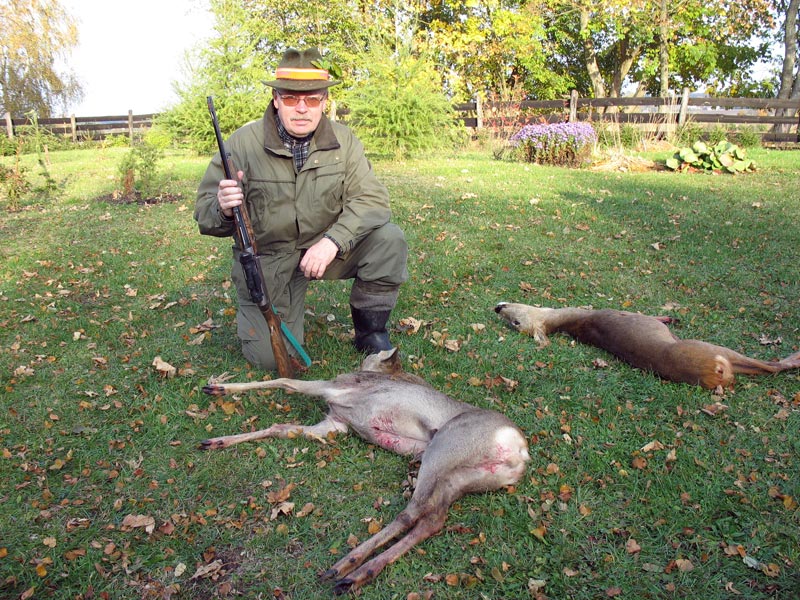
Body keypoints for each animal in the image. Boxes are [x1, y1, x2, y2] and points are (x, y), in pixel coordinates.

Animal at [199, 348, 530, 594]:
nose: (376, 351)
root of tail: (520, 450)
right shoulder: (336, 423)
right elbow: (281, 428)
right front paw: (216, 441)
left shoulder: (335, 387)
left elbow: (283, 381)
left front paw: (217, 387)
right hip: (461, 478)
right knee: (432, 520)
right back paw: (357, 573)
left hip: (443, 449)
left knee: (413, 511)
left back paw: (346, 565)